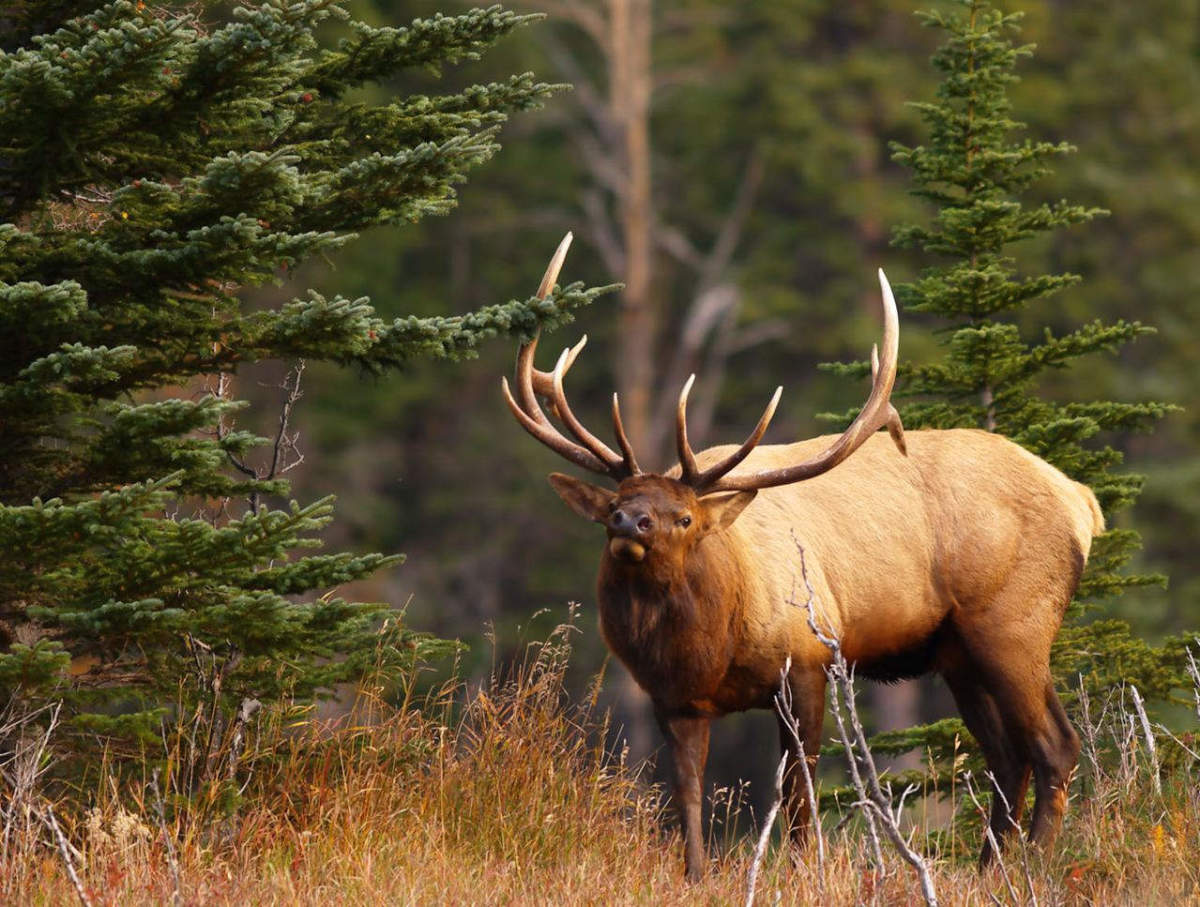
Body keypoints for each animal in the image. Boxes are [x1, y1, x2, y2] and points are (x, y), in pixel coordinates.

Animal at [501, 233, 1099, 878]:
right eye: (616, 501)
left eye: (684, 518)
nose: (627, 522)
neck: (710, 645)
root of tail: (1081, 501)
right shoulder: (673, 699)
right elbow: (688, 794)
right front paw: (696, 875)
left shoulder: (808, 662)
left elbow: (798, 791)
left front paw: (800, 871)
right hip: (957, 651)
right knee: (1006, 757)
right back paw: (988, 870)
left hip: (1013, 622)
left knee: (1054, 745)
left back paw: (1034, 864)